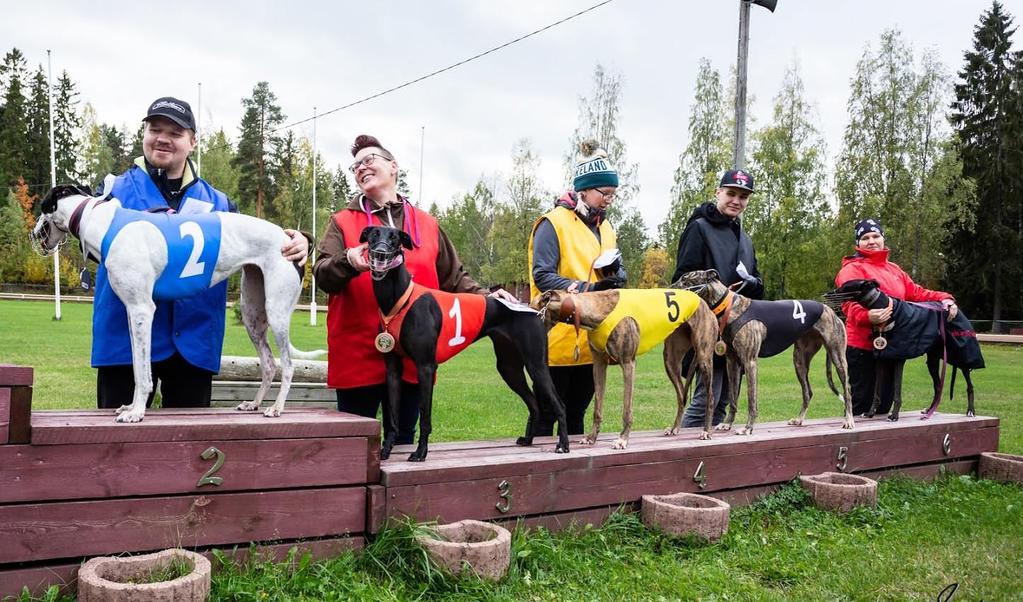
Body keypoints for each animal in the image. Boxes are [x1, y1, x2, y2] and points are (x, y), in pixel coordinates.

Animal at [671, 270, 855, 434]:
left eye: (685, 279)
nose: (670, 287)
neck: (730, 307)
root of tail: (829, 309)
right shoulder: (732, 362)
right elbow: (733, 397)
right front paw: (728, 424)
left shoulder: (750, 361)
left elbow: (751, 399)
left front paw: (748, 427)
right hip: (800, 360)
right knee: (808, 392)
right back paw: (799, 419)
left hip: (838, 357)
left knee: (847, 390)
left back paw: (849, 420)